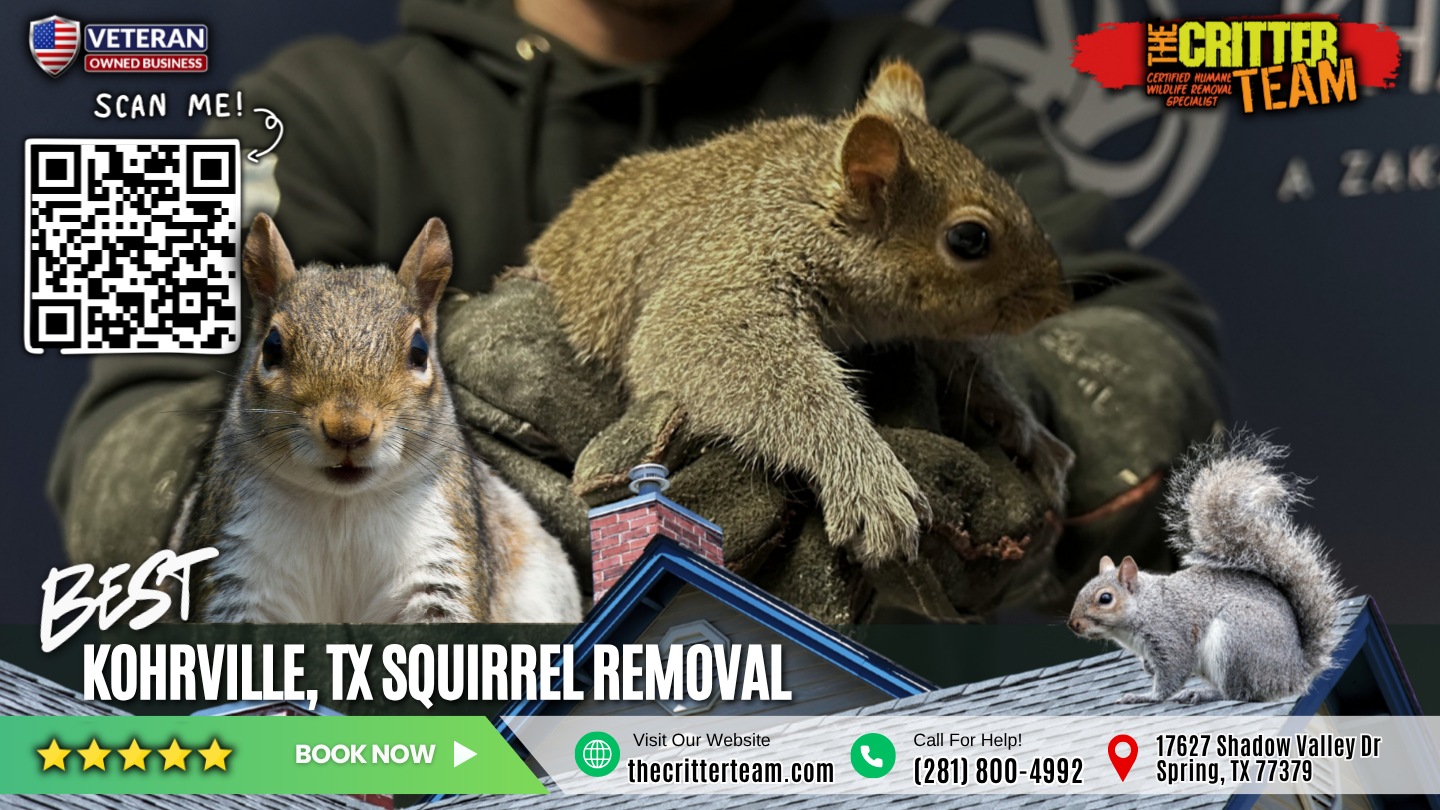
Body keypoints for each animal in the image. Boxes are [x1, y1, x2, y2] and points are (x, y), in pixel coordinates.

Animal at [169, 214, 582, 624]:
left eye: (419, 351)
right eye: (271, 348)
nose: (347, 429)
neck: (340, 507)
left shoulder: (441, 554)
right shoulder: (236, 561)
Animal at [526, 59, 1074, 567]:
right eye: (969, 239)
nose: (1058, 300)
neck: (804, 202)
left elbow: (966, 361)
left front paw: (1030, 432)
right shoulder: (725, 273)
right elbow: (709, 346)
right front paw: (868, 481)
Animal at [1068, 433, 1346, 704]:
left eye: (1105, 598)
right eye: (1080, 591)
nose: (1073, 625)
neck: (1144, 607)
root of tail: (1295, 673)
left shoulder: (1170, 635)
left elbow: (1173, 673)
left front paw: (1144, 696)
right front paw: (1146, 669)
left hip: (1236, 641)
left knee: (1239, 693)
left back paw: (1203, 693)